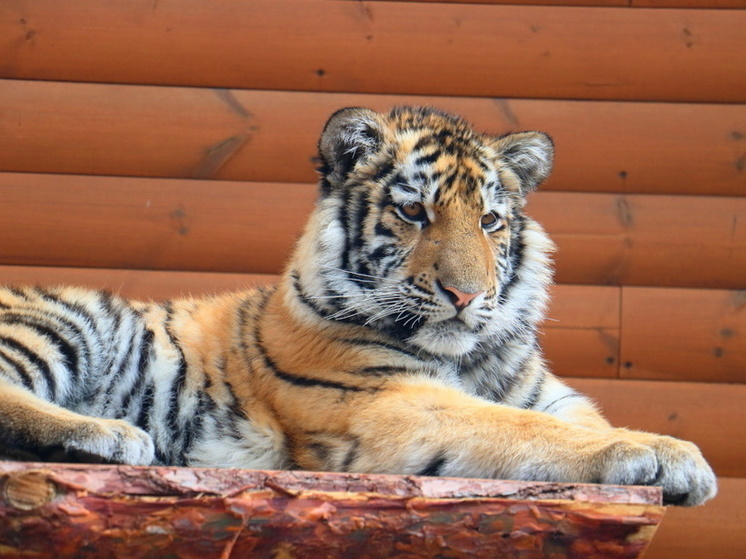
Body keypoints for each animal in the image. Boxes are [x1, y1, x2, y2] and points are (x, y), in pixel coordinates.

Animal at [0, 105, 712, 508]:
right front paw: (666, 453)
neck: (469, 358)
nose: (466, 295)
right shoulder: (386, 401)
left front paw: (675, 459)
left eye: (489, 221)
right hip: (69, 318)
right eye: (414, 212)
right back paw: (111, 436)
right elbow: (519, 429)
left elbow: (567, 422)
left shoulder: (555, 397)